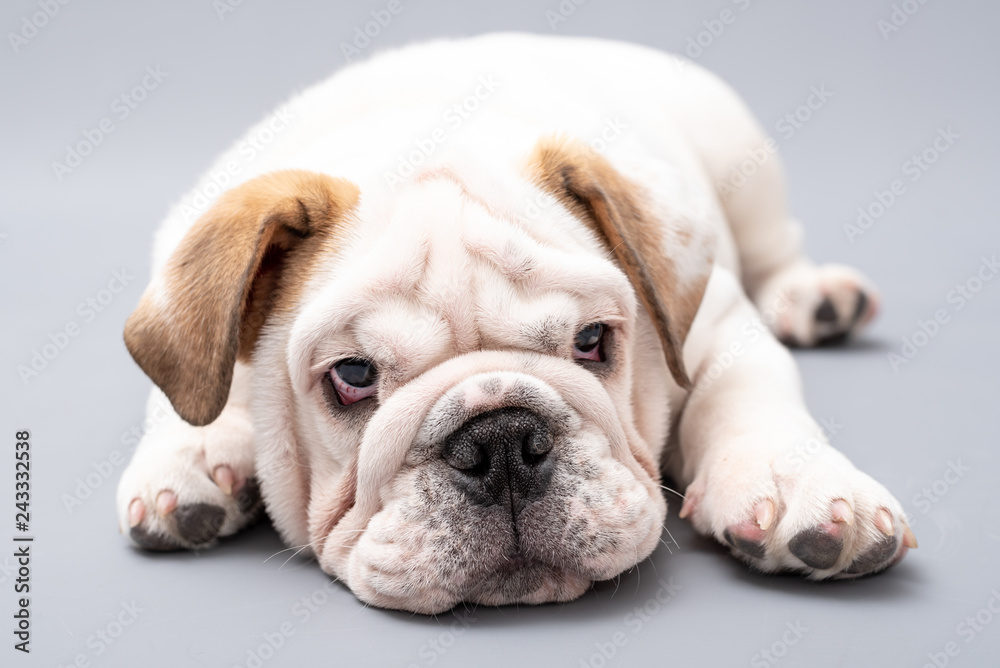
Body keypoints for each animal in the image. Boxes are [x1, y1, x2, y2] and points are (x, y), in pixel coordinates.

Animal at [115, 34, 916, 612]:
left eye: (593, 341)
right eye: (352, 377)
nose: (500, 442)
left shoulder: (714, 319)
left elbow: (748, 396)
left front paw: (799, 484)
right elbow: (192, 390)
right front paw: (191, 458)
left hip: (742, 164)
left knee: (777, 246)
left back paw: (815, 297)